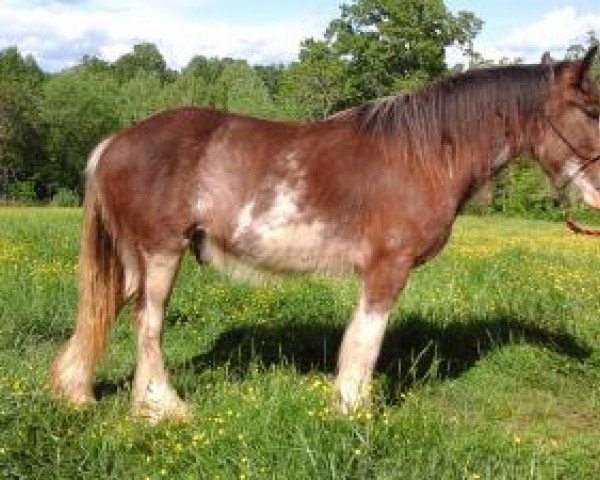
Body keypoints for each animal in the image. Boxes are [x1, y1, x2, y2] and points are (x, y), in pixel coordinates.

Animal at [50, 47, 600, 422]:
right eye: (592, 112)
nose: (598, 194)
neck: (422, 154)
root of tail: (115, 142)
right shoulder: (387, 269)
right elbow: (366, 342)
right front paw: (354, 411)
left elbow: (359, 339)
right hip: (162, 253)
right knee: (148, 325)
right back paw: (166, 408)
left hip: (136, 259)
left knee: (106, 309)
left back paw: (83, 393)